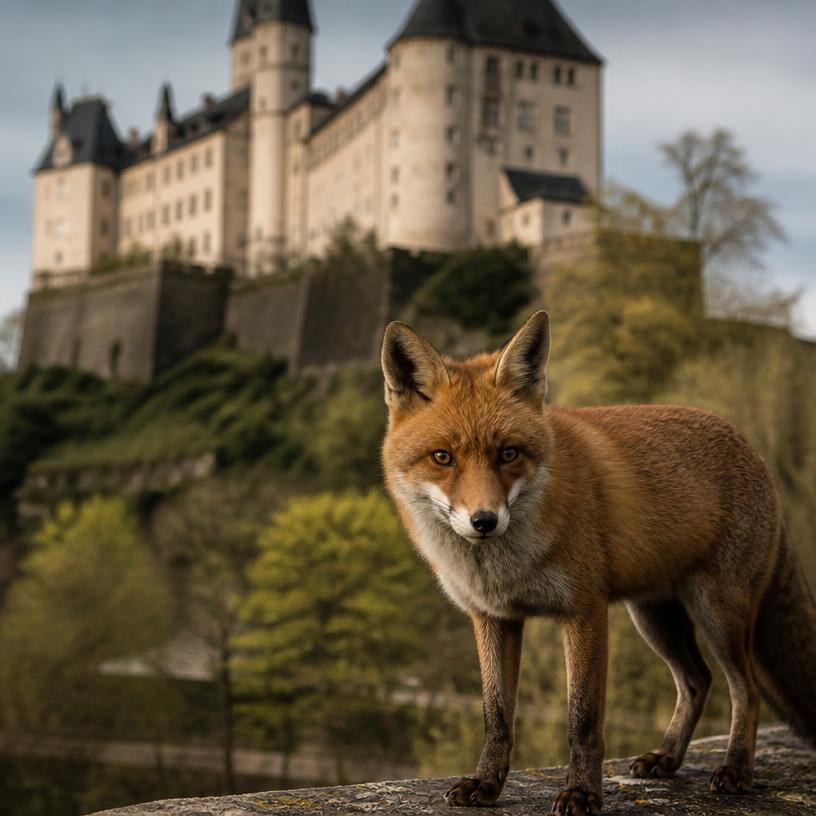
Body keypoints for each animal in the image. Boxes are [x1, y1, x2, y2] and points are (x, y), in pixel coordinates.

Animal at [380, 311, 816, 816]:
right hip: (655, 619)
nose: (484, 521)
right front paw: (486, 784)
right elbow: (497, 717)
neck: (508, 565)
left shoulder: (584, 612)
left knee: (745, 689)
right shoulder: (493, 618)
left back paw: (736, 769)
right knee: (697, 682)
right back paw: (667, 758)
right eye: (442, 457)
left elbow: (583, 721)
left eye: (508, 453)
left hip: (718, 613)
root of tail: (757, 453)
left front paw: (583, 793)